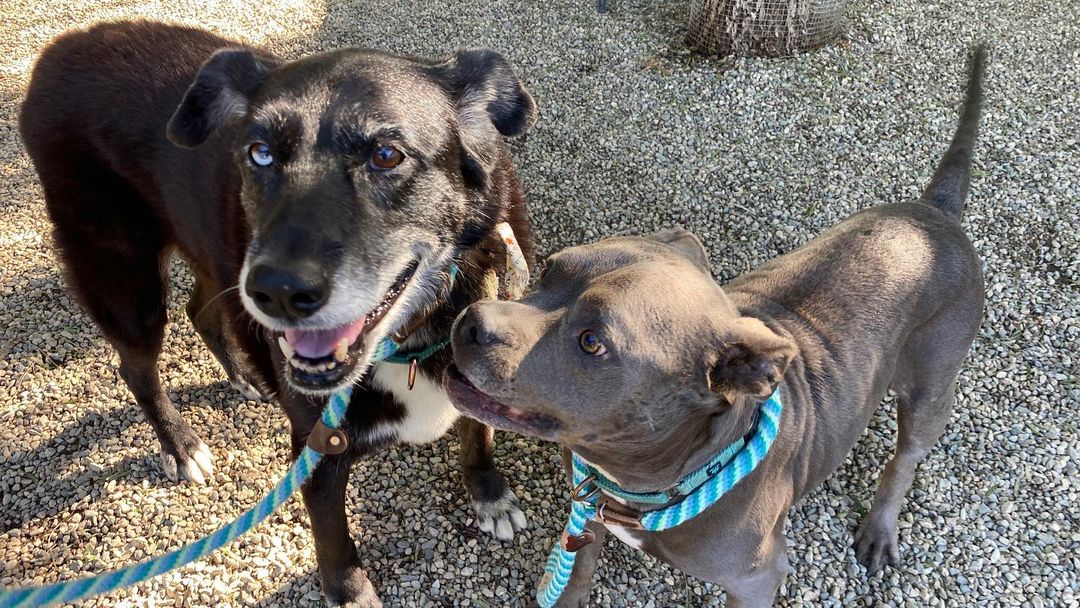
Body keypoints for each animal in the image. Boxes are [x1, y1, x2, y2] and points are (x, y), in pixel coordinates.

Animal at [444, 48, 989, 608]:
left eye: (592, 342)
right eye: (550, 269)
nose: (471, 320)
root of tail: (931, 214)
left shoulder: (757, 580)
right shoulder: (586, 524)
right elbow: (573, 580)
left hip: (932, 388)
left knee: (907, 457)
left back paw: (880, 528)